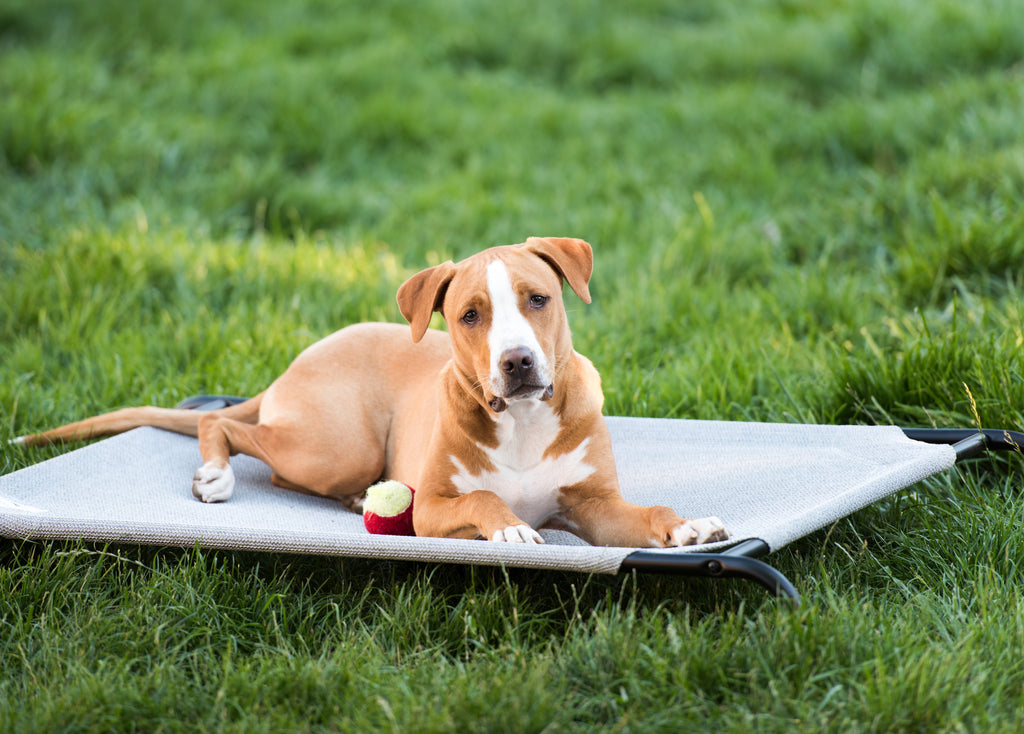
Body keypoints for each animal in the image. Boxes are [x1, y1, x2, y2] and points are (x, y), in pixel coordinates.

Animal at [14, 237, 729, 548]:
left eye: (538, 299)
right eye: (470, 315)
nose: (518, 362)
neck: (523, 419)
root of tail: (295, 363)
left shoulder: (595, 506)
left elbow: (647, 514)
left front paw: (686, 524)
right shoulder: (436, 508)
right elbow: (486, 501)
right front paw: (510, 529)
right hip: (337, 446)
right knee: (234, 432)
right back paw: (217, 475)